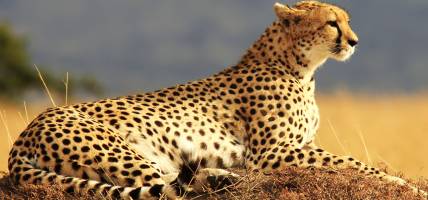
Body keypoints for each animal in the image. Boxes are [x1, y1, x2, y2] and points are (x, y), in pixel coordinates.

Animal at [6, 0, 428, 199]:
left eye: (348, 21)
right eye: (331, 23)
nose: (355, 41)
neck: (300, 67)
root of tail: (25, 132)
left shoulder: (293, 147)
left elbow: (349, 161)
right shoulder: (272, 154)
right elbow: (352, 162)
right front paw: (402, 184)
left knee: (172, 181)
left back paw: (221, 178)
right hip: (120, 150)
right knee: (166, 188)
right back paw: (221, 179)